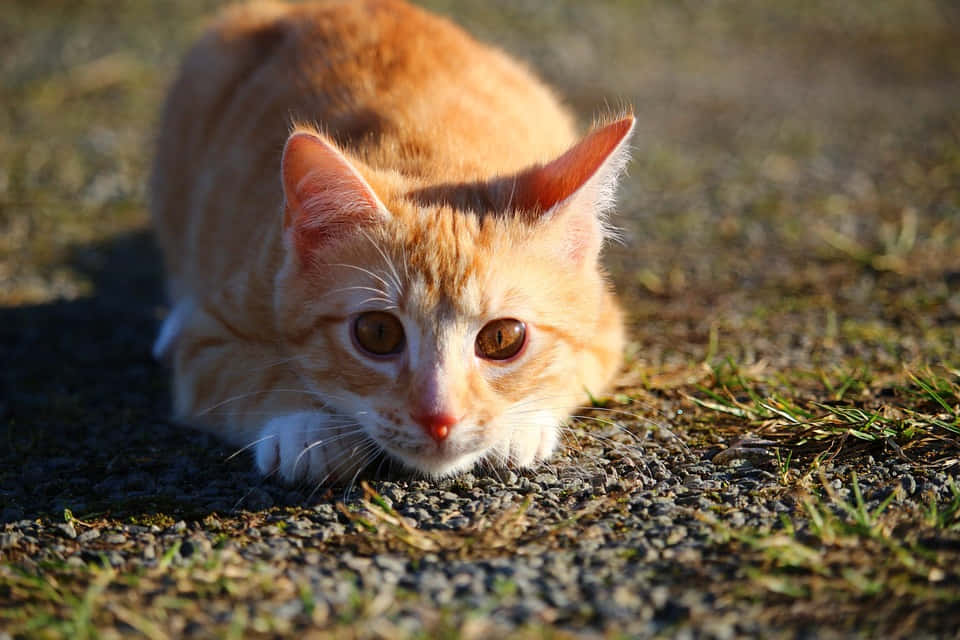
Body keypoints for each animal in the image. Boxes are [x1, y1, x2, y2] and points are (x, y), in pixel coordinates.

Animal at [150, 0, 632, 484]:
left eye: (502, 339)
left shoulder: (606, 326)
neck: (434, 158)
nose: (439, 418)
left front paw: (520, 424)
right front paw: (306, 425)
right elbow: (249, 376)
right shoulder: (211, 337)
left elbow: (574, 368)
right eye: (378, 333)